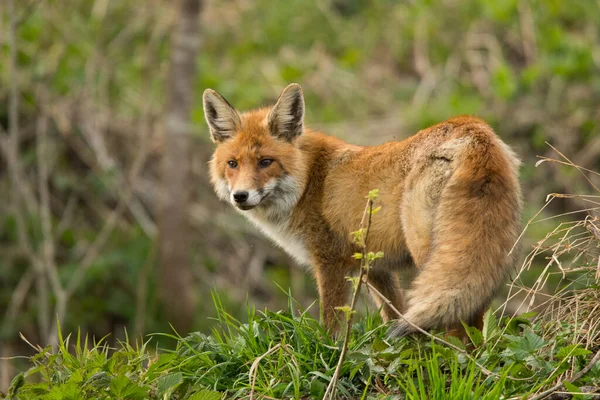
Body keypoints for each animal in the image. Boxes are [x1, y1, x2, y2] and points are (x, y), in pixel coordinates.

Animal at [203, 83, 520, 336]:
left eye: (266, 162)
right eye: (232, 164)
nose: (240, 196)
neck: (308, 182)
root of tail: (472, 126)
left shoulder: (330, 262)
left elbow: (332, 325)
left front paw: (331, 357)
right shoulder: (375, 266)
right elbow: (393, 311)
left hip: (429, 251)